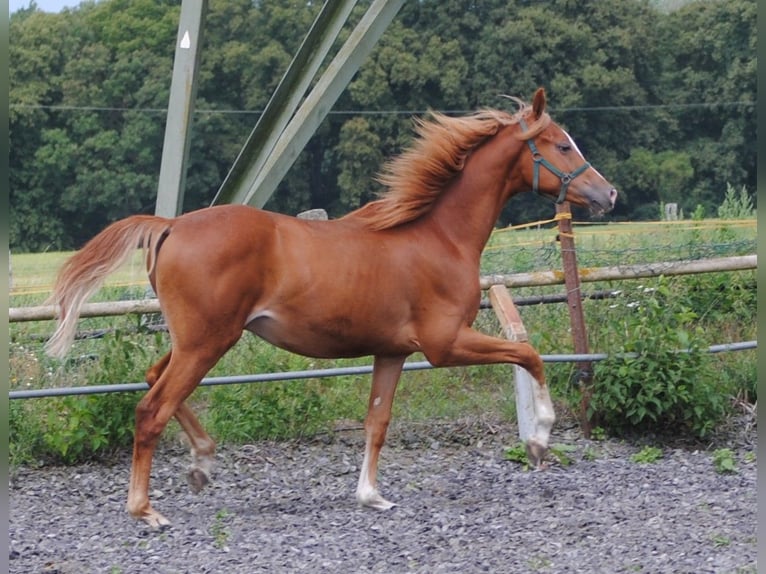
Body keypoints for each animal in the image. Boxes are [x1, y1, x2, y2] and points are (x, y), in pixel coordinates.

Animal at [45, 89, 616, 532]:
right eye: (562, 144)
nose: (609, 192)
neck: (438, 237)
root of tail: (170, 225)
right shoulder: (445, 344)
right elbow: (530, 354)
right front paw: (540, 440)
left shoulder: (392, 352)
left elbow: (377, 421)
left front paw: (371, 495)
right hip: (208, 342)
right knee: (151, 408)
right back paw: (145, 510)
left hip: (196, 340)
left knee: (151, 378)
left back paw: (203, 463)